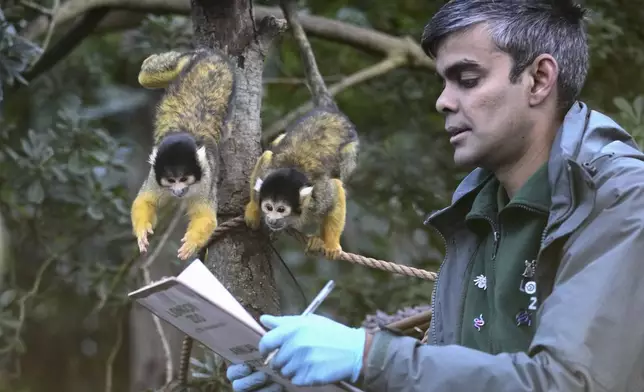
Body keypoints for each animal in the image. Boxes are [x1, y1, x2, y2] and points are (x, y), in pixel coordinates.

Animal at [128, 50, 236, 262]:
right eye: (171, 180)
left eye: (184, 179)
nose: (178, 191)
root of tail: (212, 55)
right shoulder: (155, 175)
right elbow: (144, 200)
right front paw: (142, 233)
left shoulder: (206, 175)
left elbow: (205, 216)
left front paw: (190, 244)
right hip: (187, 61)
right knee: (147, 76)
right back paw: (148, 63)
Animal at [244, 108, 360, 260]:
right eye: (268, 207)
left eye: (281, 209)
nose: (272, 220)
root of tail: (332, 112)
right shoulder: (267, 172)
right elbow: (266, 157)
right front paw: (253, 209)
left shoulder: (319, 196)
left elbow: (336, 190)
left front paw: (331, 244)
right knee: (271, 150)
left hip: (350, 151)